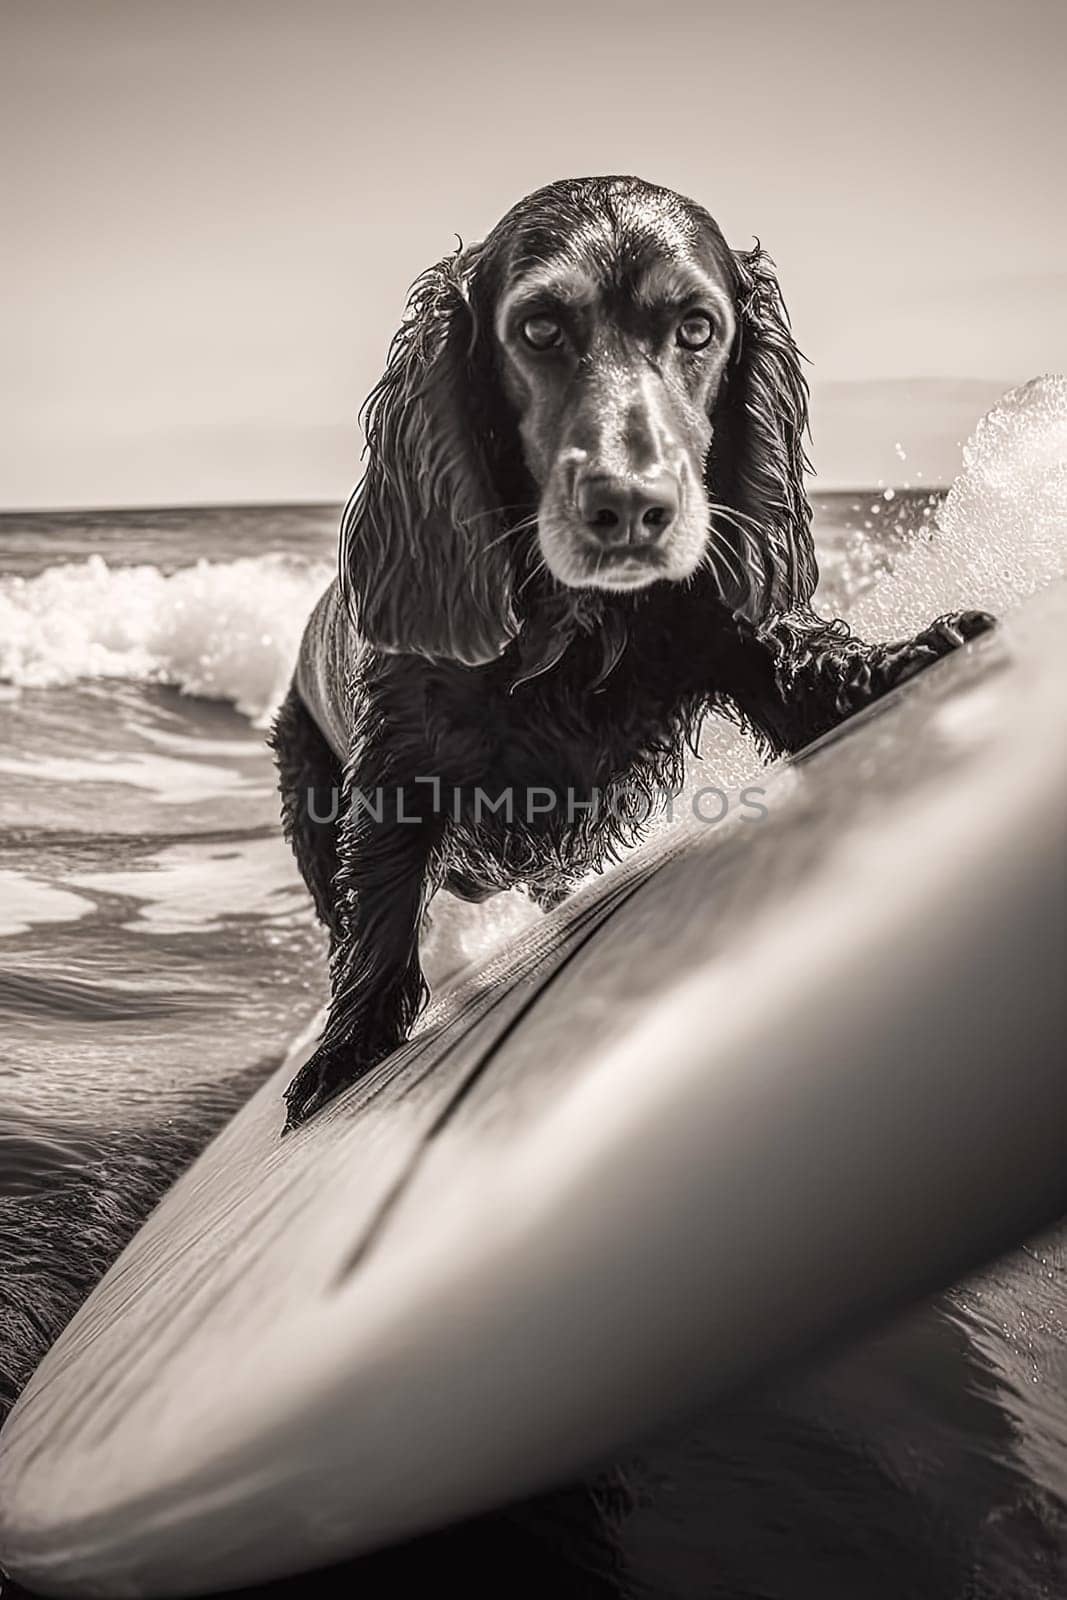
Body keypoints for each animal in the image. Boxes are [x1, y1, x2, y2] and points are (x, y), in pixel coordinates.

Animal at [273, 172, 991, 1126]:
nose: (629, 507)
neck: (586, 620)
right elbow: (381, 903)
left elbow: (807, 671)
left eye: (697, 327)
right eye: (539, 328)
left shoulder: (727, 631)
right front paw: (347, 1047)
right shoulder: (396, 755)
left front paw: (904, 654)